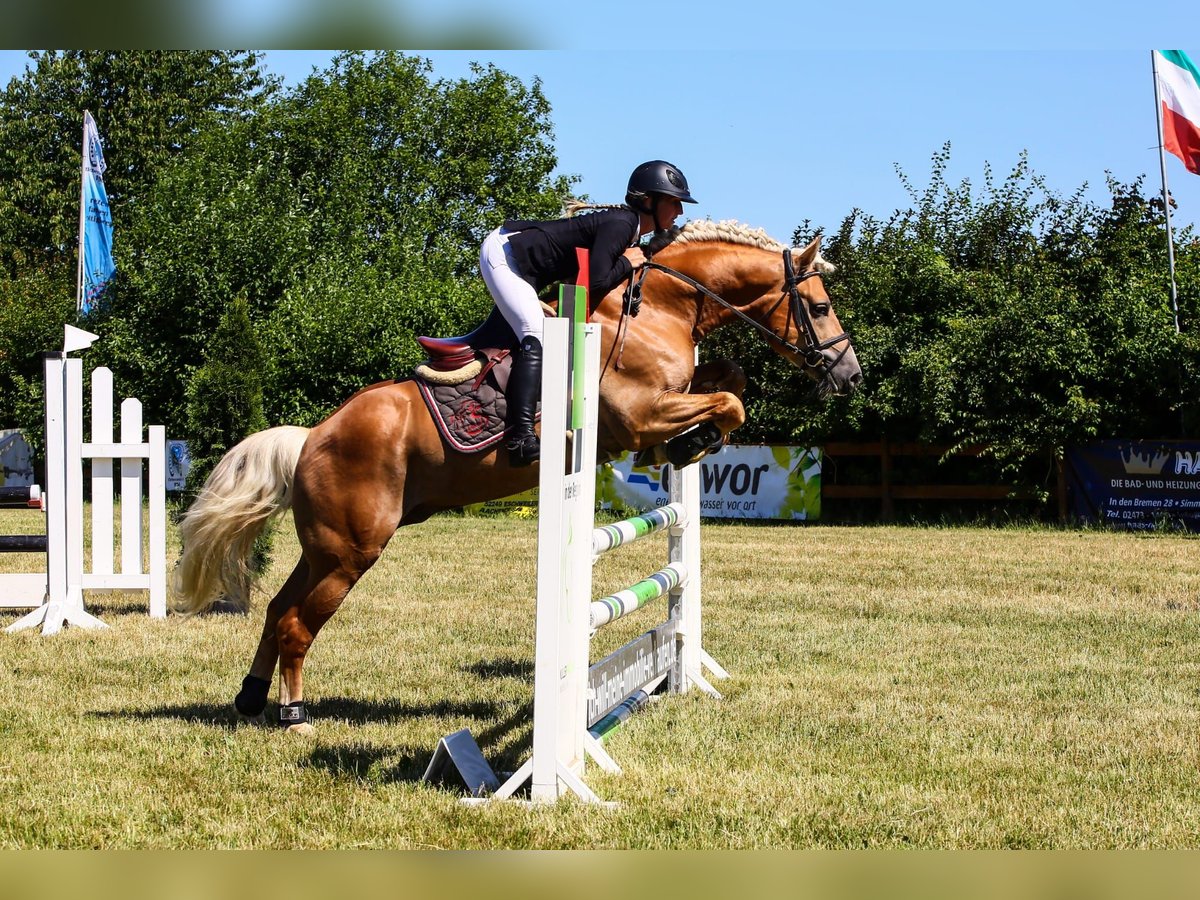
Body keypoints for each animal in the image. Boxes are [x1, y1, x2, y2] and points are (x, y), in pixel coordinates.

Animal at [174, 218, 859, 734]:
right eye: (820, 307)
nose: (848, 375)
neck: (657, 306)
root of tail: (312, 436)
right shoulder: (637, 414)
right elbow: (731, 403)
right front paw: (690, 444)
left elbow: (729, 382)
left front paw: (687, 445)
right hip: (351, 551)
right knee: (296, 623)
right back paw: (293, 716)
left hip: (324, 549)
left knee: (277, 612)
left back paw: (249, 699)